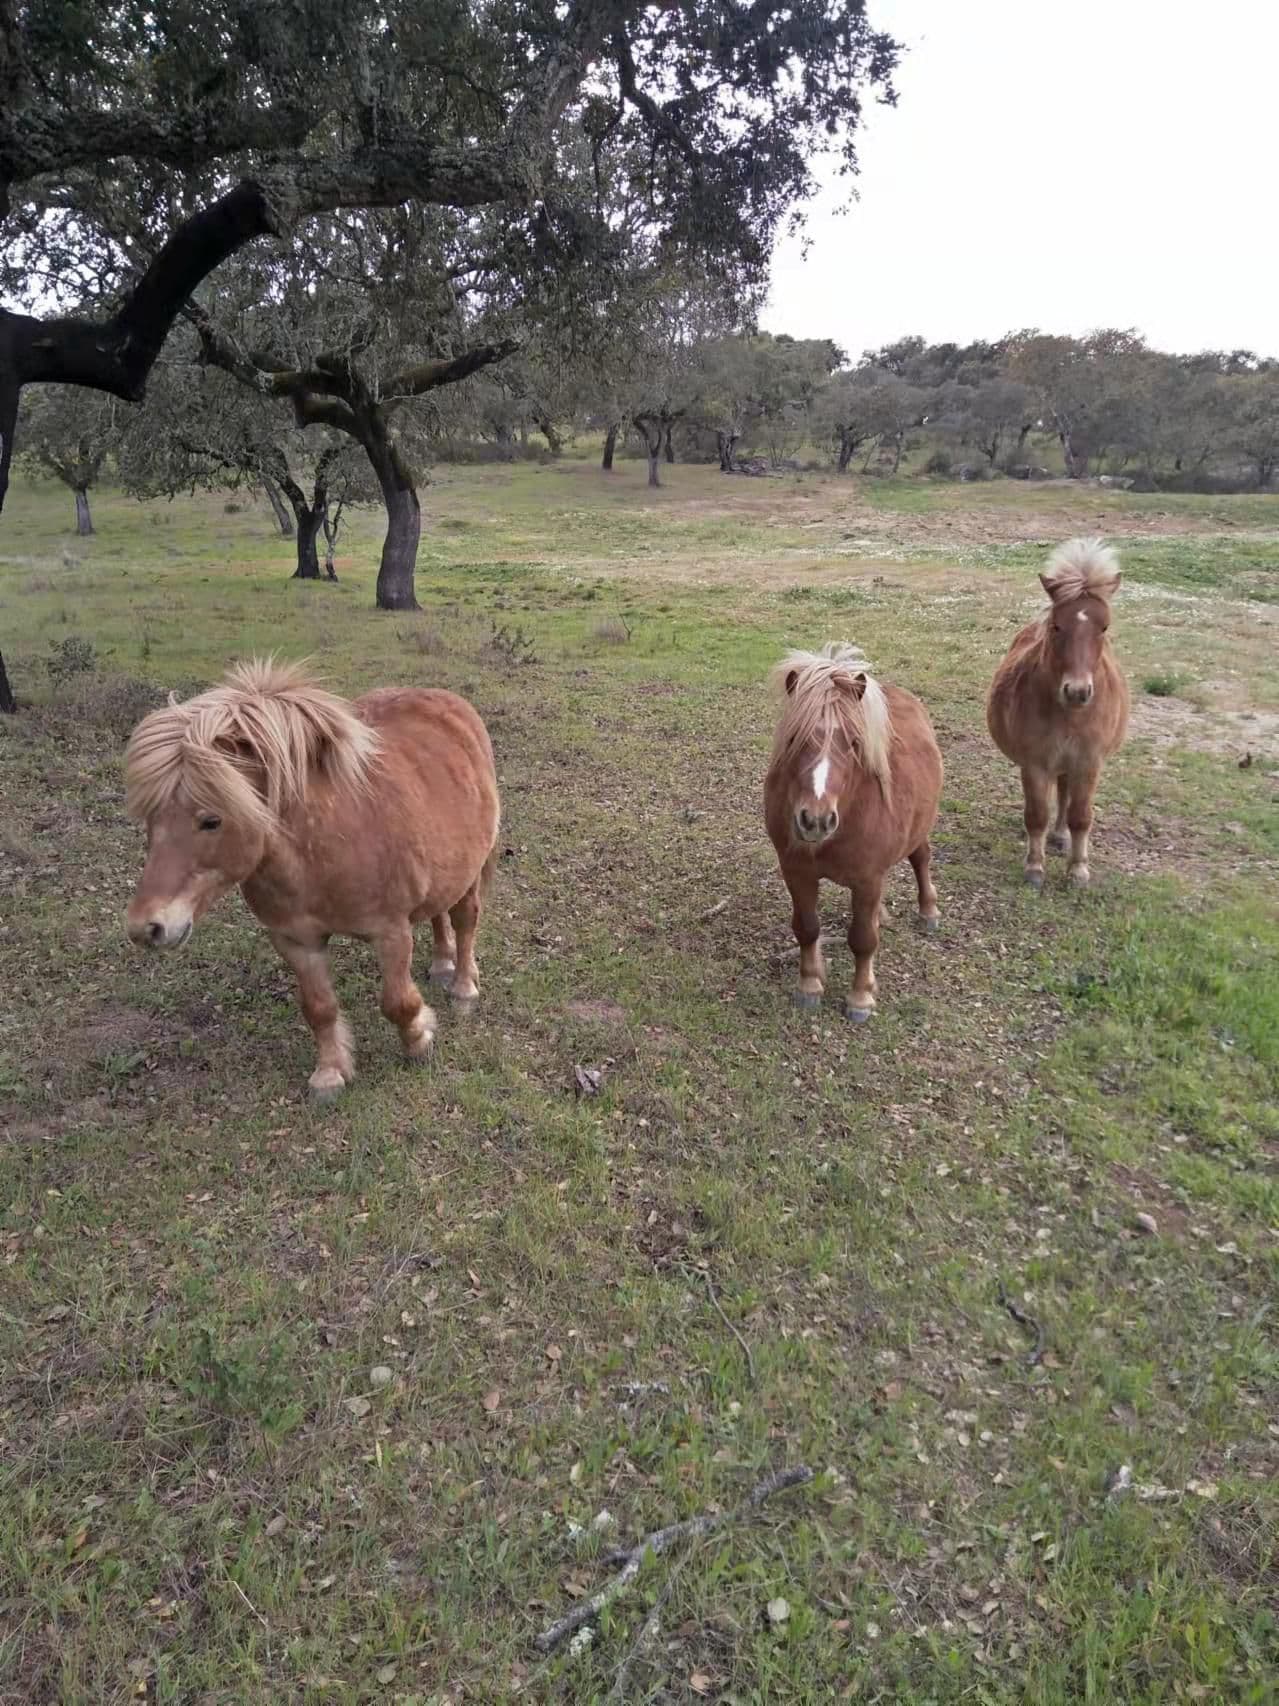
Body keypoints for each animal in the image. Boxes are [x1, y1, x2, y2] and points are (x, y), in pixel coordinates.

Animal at [124, 658, 500, 1099]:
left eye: (211, 820)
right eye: (150, 818)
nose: (146, 927)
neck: (319, 853)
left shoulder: (390, 933)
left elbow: (397, 1002)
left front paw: (419, 1040)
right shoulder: (296, 941)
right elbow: (319, 1008)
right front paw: (330, 1073)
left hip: (473, 866)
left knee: (465, 919)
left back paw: (463, 987)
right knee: (439, 914)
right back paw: (442, 964)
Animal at [764, 643, 944, 1023]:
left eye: (852, 742)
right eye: (795, 737)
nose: (815, 820)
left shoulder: (867, 880)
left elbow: (863, 939)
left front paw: (860, 997)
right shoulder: (796, 872)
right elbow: (807, 927)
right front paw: (809, 986)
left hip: (919, 831)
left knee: (921, 859)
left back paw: (929, 912)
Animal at [986, 537, 1129, 889]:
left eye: (1104, 627)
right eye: (1057, 625)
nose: (1077, 691)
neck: (1070, 715)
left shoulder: (1089, 763)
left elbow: (1081, 816)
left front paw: (1078, 870)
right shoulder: (1036, 764)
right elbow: (1037, 815)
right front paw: (1035, 868)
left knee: (1065, 797)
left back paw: (1061, 836)